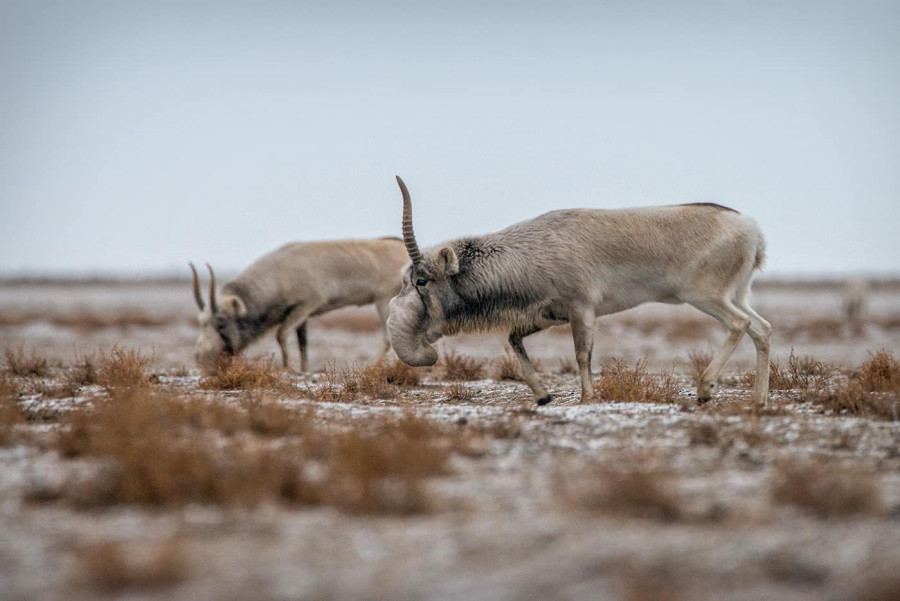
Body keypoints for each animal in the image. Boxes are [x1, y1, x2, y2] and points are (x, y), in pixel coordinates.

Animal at [195, 238, 410, 370]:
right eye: (202, 322)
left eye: (221, 322)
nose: (201, 357)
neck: (279, 274)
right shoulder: (302, 316)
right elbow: (302, 343)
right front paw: (303, 369)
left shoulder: (306, 305)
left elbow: (281, 334)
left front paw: (287, 367)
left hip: (383, 301)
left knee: (387, 338)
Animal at [386, 176, 772, 406]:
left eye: (421, 281)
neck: (531, 250)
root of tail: (751, 229)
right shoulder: (547, 315)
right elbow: (514, 339)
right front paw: (543, 396)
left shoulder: (582, 309)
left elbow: (582, 354)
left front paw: (587, 399)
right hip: (736, 296)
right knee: (762, 329)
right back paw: (758, 401)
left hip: (706, 297)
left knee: (739, 325)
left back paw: (706, 389)